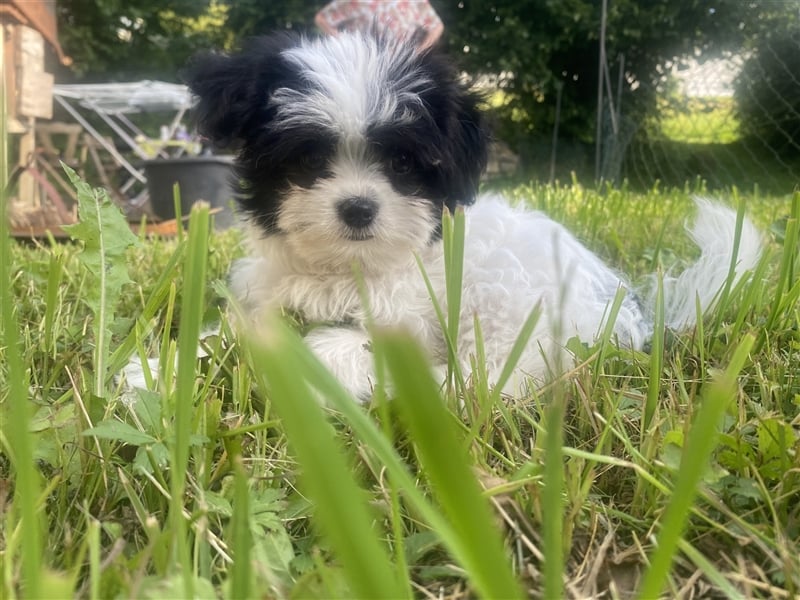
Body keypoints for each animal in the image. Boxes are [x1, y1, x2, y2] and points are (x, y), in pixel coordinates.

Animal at [181, 30, 764, 400]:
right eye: (307, 159)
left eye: (402, 163)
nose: (358, 207)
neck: (347, 267)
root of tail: (639, 317)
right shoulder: (264, 300)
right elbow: (224, 337)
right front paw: (168, 369)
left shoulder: (410, 315)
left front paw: (324, 362)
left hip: (516, 299)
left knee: (499, 378)